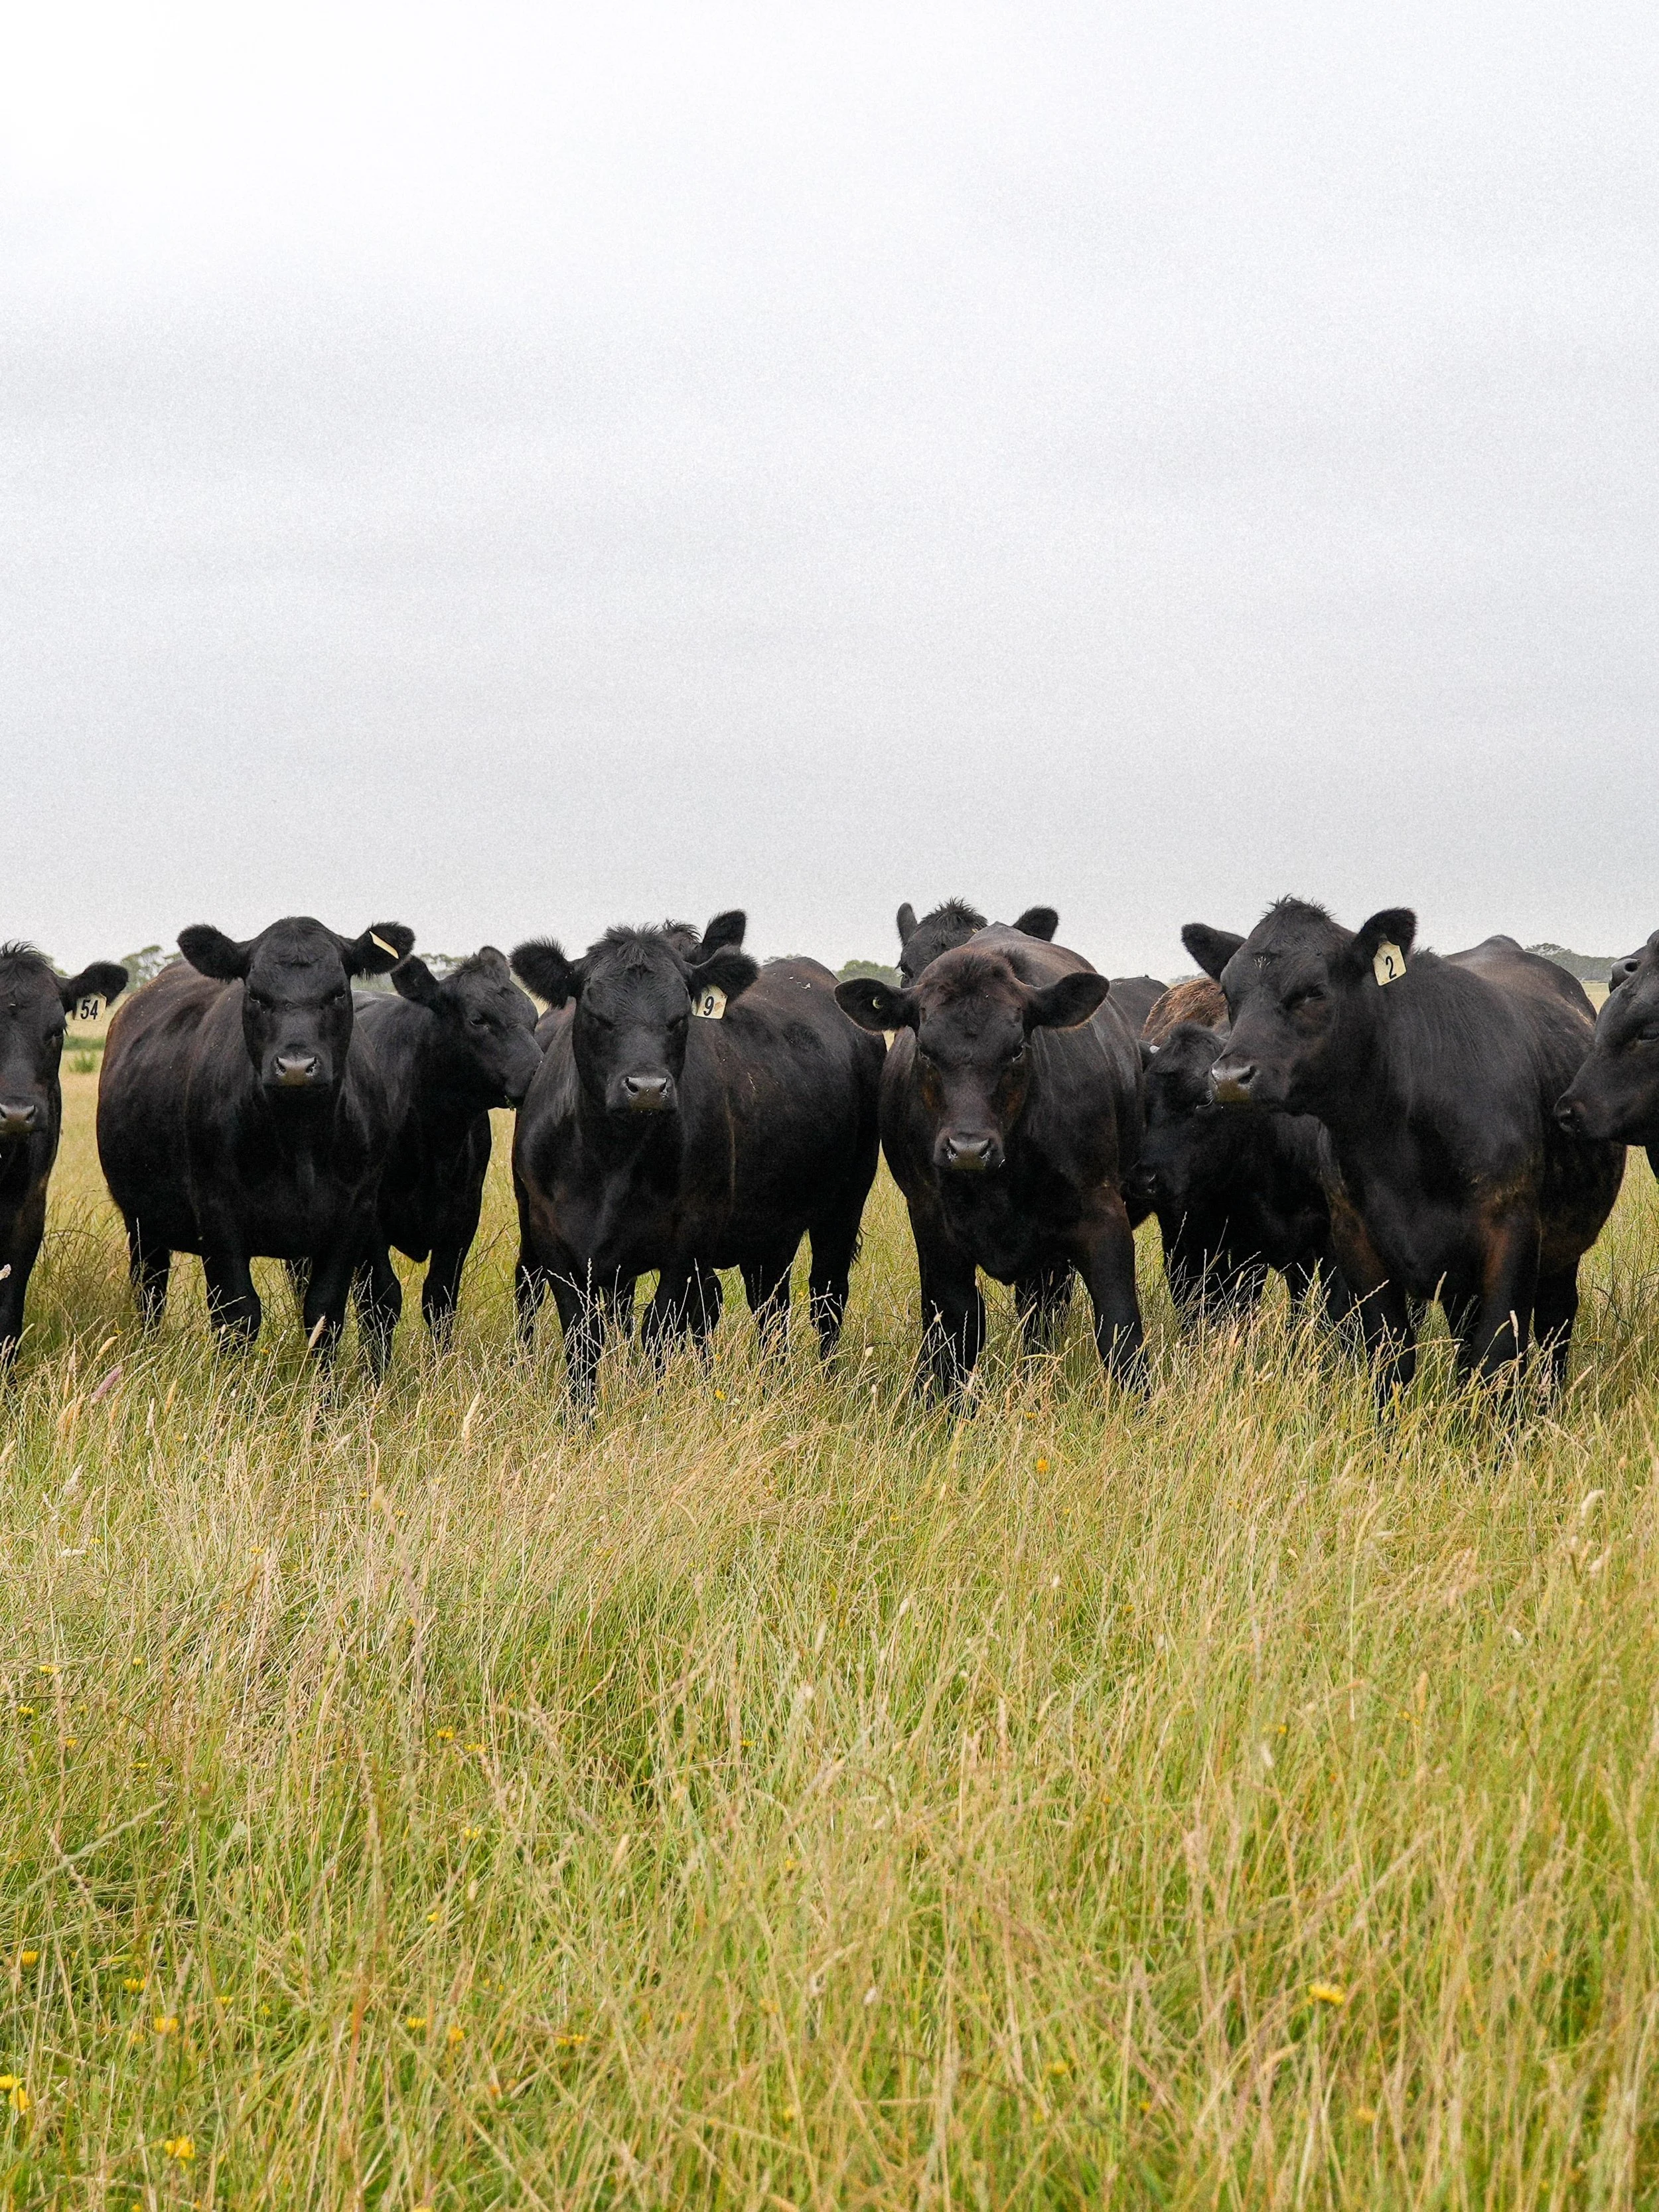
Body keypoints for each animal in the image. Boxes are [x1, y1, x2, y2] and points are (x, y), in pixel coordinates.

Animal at [97, 916, 415, 1372]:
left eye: (338, 991)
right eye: (255, 994)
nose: (296, 1067)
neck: (299, 1142)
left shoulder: (351, 1217)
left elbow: (325, 1311)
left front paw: (324, 1392)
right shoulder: (216, 1213)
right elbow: (237, 1312)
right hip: (143, 1224)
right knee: (150, 1290)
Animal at [348, 949, 542, 1347]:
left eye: (533, 1019)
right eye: (478, 1020)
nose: (539, 1074)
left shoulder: (462, 1215)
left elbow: (440, 1298)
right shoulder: (369, 1220)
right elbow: (381, 1302)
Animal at [511, 914, 884, 1401]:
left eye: (679, 1018)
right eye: (596, 1015)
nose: (647, 1088)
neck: (612, 1159)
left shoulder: (691, 1237)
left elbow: (661, 1328)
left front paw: (653, 1406)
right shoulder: (552, 1236)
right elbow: (583, 1337)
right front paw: (580, 1414)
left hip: (844, 1204)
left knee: (827, 1296)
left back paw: (826, 1381)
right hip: (772, 1227)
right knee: (771, 1303)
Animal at [836, 926, 1144, 1397]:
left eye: (1016, 1049)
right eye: (925, 1049)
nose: (968, 1148)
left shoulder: (1102, 1210)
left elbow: (1120, 1327)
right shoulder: (933, 1221)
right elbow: (957, 1325)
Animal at [1182, 903, 1623, 1395]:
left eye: (1313, 991)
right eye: (1229, 992)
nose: (1229, 1077)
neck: (1399, 1145)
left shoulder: (1512, 1236)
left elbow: (1497, 1359)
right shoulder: (1357, 1243)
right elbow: (1390, 1357)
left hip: (1563, 1251)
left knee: (1554, 1328)